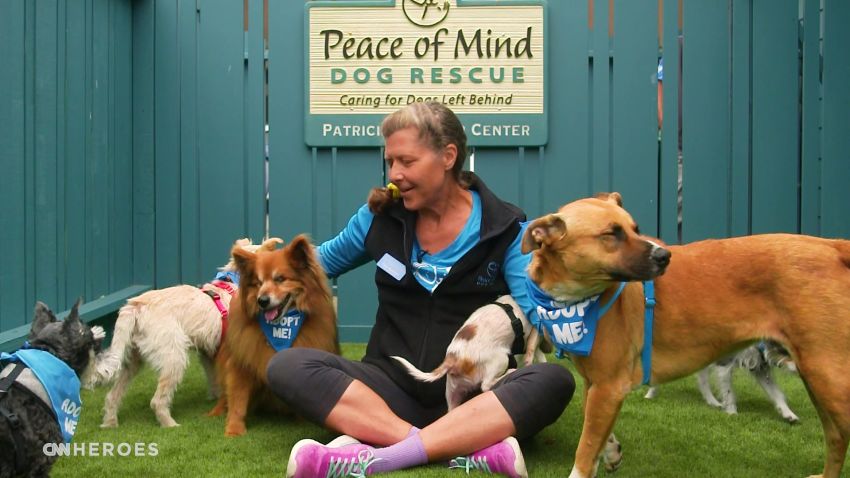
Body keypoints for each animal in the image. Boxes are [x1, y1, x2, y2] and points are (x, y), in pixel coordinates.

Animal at [207, 233, 340, 436]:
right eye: (258, 283)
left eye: (280, 279)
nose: (262, 301)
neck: (280, 332)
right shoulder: (242, 362)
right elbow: (237, 398)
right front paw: (234, 429)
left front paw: (303, 422)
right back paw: (216, 411)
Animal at [520, 192, 848, 476]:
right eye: (611, 234)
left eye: (635, 229)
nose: (664, 255)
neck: (575, 305)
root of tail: (832, 246)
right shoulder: (597, 385)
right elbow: (596, 432)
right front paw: (610, 450)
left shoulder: (608, 387)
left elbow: (585, 451)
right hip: (819, 382)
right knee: (836, 439)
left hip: (829, 379)